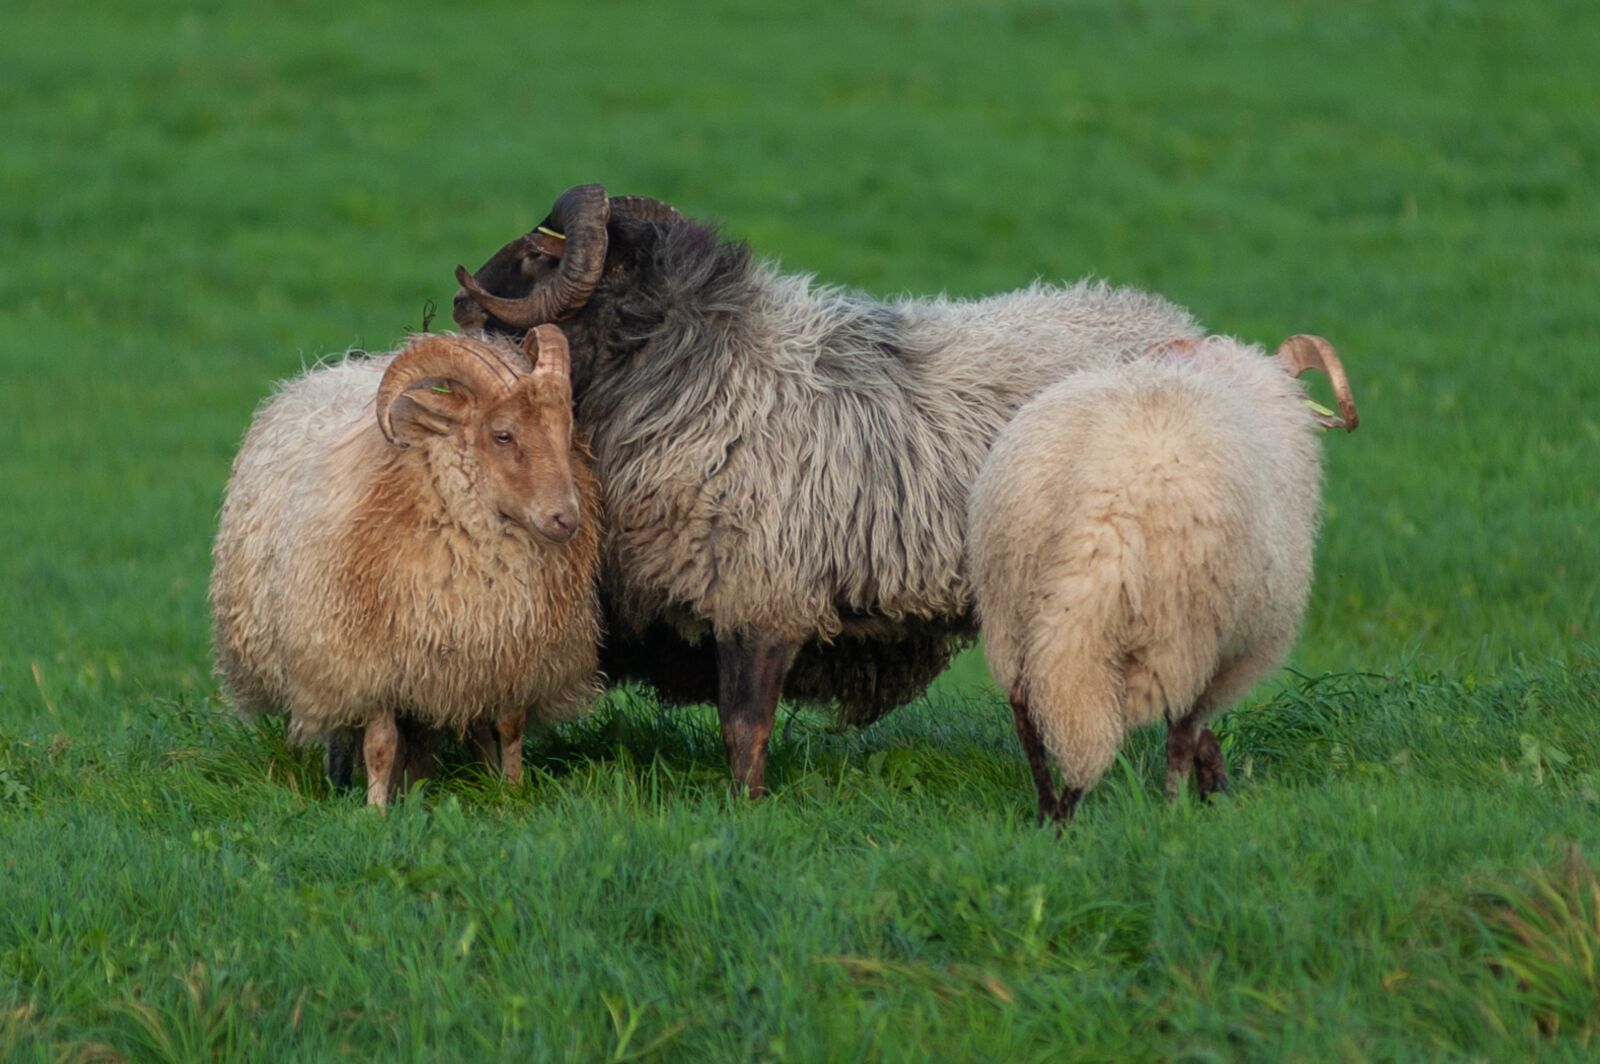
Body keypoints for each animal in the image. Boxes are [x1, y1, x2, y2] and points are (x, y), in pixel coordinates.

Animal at [210, 327, 603, 806]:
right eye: (503, 435)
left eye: (566, 428)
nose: (565, 518)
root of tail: (334, 369)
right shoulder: (373, 664)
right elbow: (380, 745)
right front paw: (376, 810)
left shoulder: (508, 656)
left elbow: (510, 729)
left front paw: (510, 793)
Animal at [449, 184, 1205, 794]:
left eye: (537, 253)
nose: (459, 296)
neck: (703, 370)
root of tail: (1182, 327)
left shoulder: (762, 593)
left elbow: (744, 727)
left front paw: (746, 814)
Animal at [966, 334, 1359, 823]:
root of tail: (1101, 500)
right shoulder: (1232, 651)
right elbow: (1189, 722)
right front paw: (1206, 791)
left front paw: (1213, 781)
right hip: (1179, 626)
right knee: (1167, 730)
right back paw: (1158, 812)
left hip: (1010, 605)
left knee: (1025, 706)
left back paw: (1049, 813)